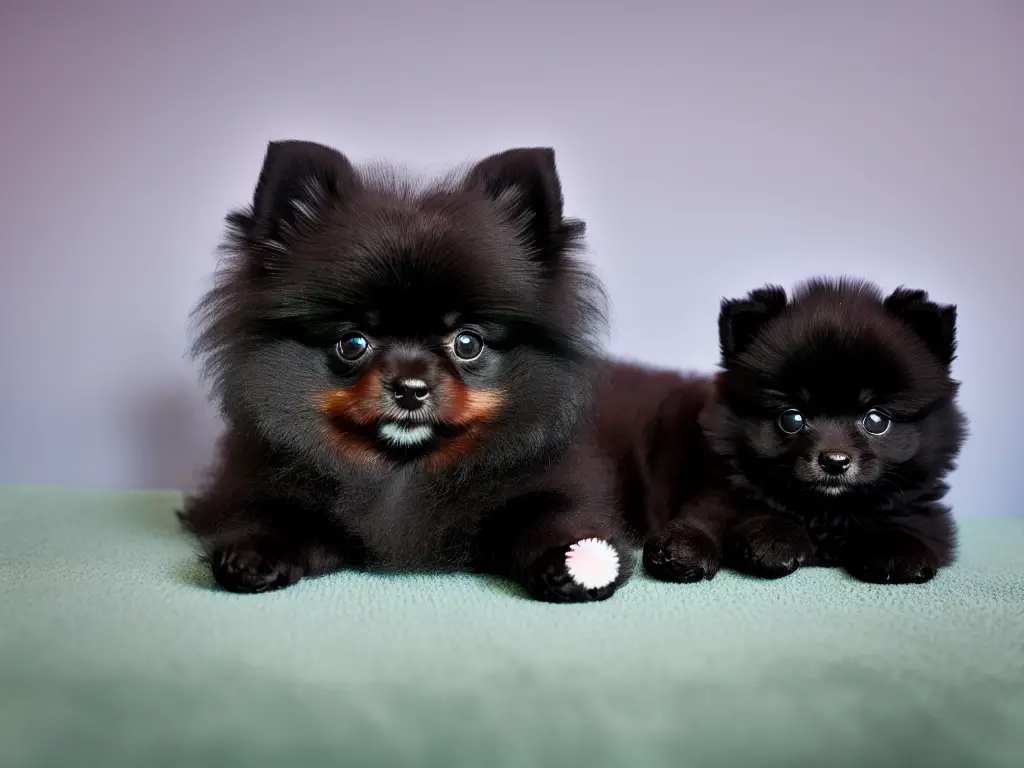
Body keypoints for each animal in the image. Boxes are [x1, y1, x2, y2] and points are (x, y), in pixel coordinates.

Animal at [184, 141, 630, 606]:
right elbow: (277, 515)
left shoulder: (552, 486)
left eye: (467, 343)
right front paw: (253, 554)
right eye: (353, 343)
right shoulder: (263, 487)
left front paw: (572, 561)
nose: (411, 389)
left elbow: (548, 516)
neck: (403, 472)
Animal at [602, 280, 970, 585]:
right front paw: (696, 547)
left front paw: (897, 552)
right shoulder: (717, 489)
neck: (824, 513)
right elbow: (711, 515)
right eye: (792, 419)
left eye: (876, 421)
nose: (834, 461)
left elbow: (907, 524)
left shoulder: (921, 510)